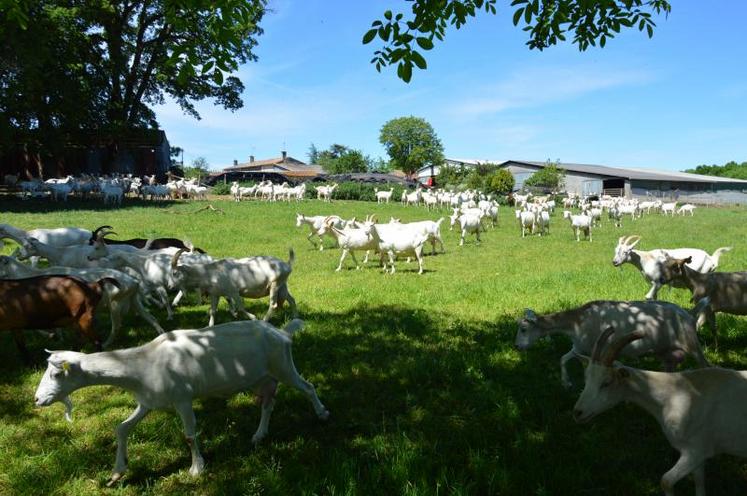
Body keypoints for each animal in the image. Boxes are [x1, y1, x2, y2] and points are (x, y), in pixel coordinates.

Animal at [34, 322, 328, 484]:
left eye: (57, 374)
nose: (37, 399)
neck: (143, 364)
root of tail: (282, 333)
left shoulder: (182, 398)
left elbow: (188, 435)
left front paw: (197, 469)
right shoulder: (148, 401)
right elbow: (122, 428)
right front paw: (117, 472)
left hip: (283, 366)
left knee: (308, 387)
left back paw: (322, 414)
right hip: (263, 377)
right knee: (268, 403)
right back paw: (259, 434)